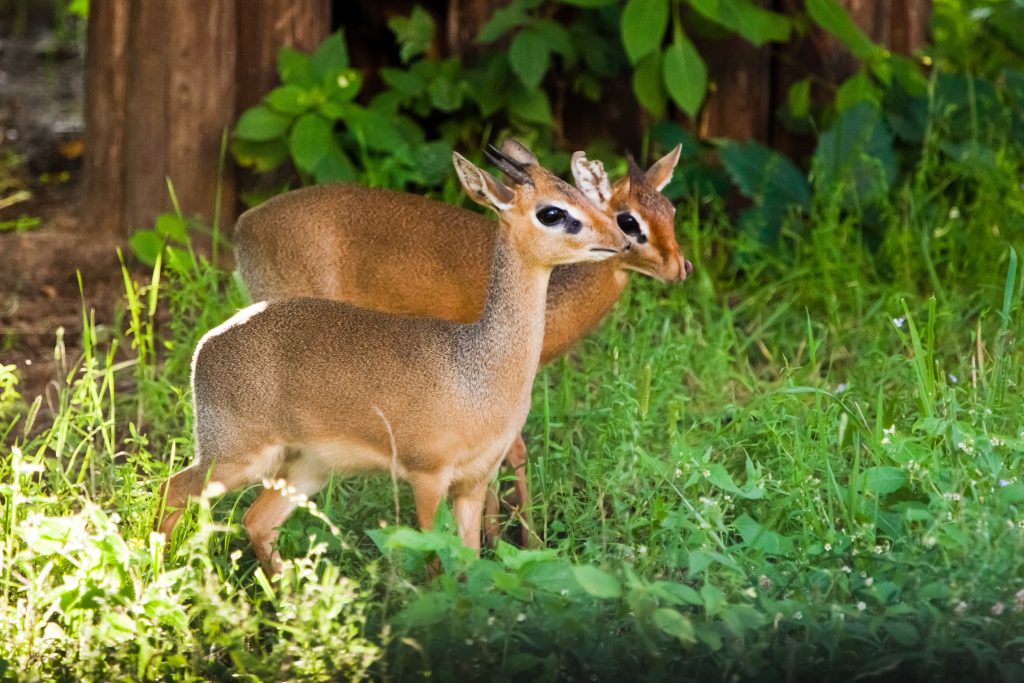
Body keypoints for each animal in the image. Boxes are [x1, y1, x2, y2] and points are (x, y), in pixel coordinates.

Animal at [156, 150, 626, 577]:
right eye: (553, 212)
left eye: (576, 193)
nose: (619, 239)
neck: (478, 368)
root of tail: (207, 344)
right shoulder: (427, 475)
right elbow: (435, 561)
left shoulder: (474, 482)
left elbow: (470, 561)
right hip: (233, 458)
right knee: (170, 490)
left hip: (305, 469)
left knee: (255, 521)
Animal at [234, 140, 688, 544]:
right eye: (628, 220)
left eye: (670, 210)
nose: (680, 267)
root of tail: (245, 223)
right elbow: (509, 456)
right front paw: (513, 541)